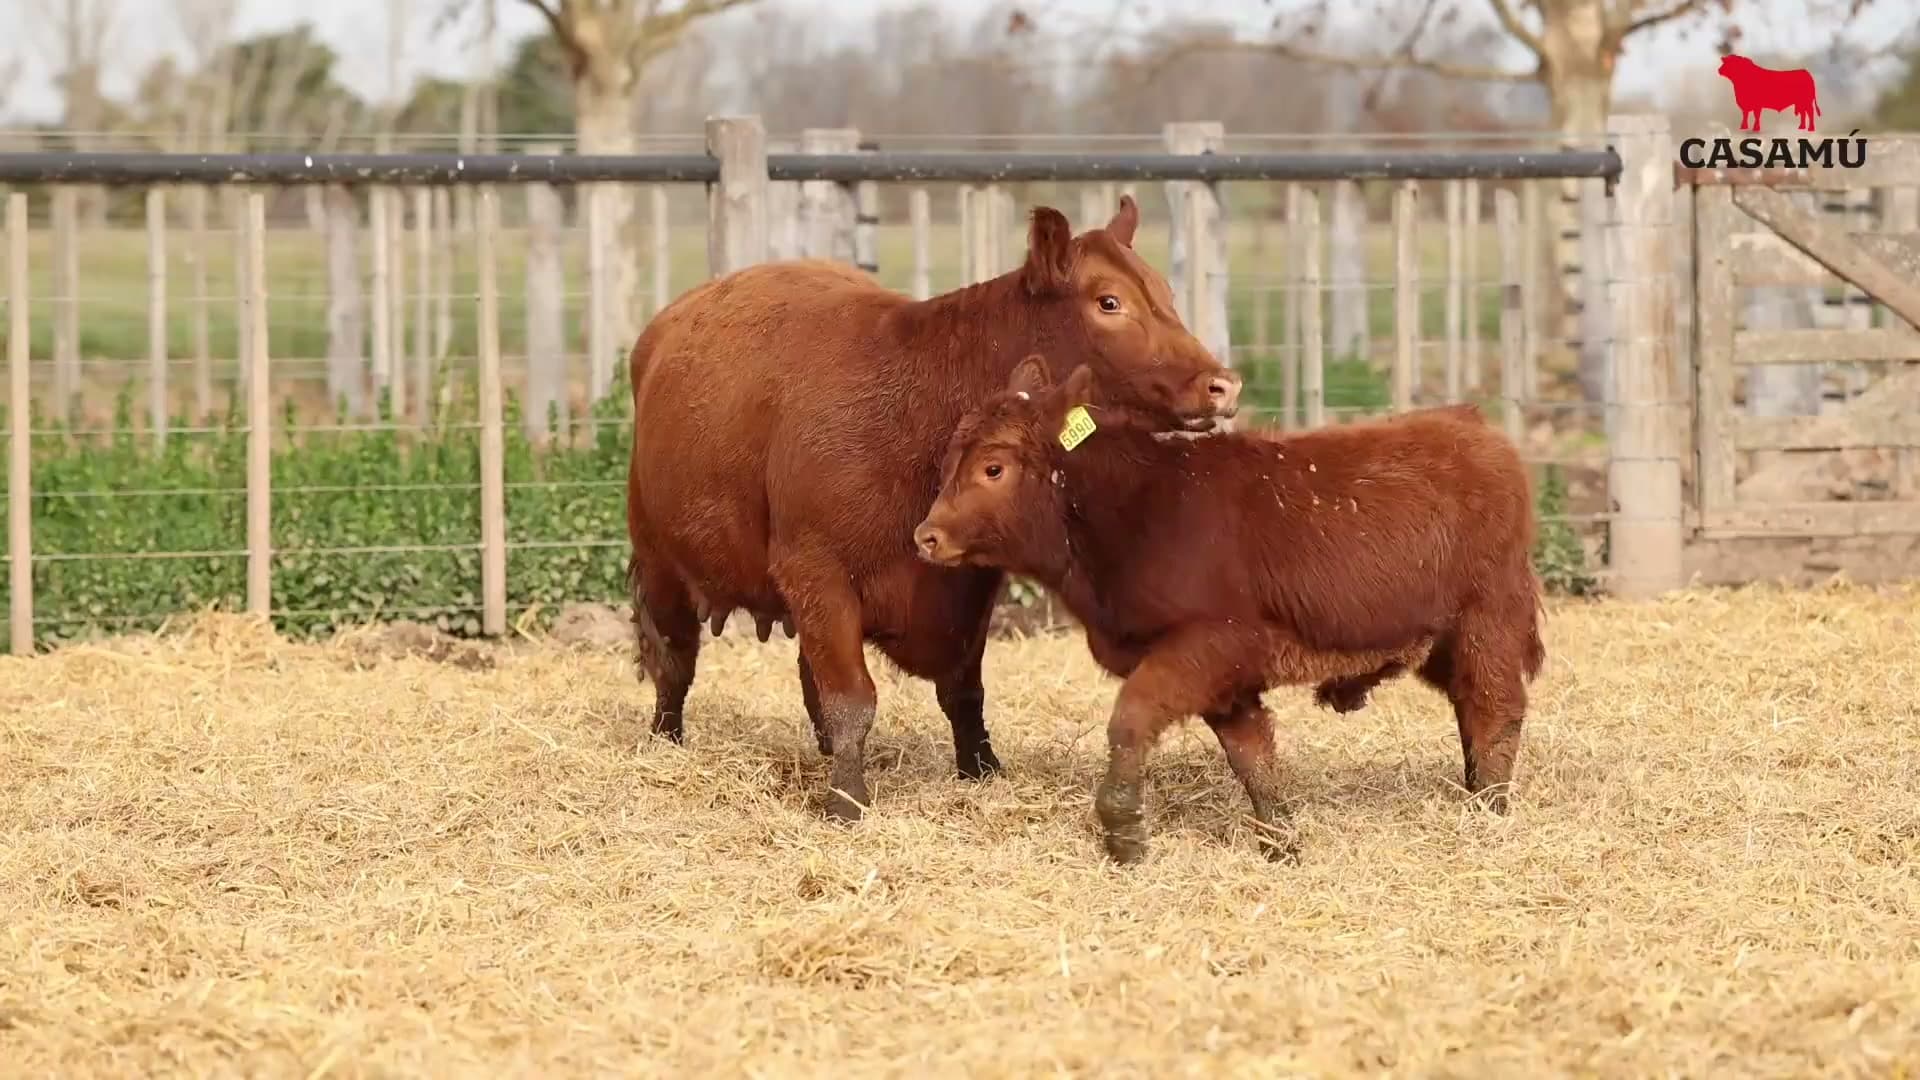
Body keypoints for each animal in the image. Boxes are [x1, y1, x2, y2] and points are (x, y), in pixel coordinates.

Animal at [626, 197, 1242, 823]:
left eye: (1164, 292)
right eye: (1109, 301)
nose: (1224, 384)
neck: (917, 408)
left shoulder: (968, 584)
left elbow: (962, 690)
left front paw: (981, 769)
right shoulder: (816, 574)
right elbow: (851, 697)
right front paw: (846, 798)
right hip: (659, 560)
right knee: (675, 659)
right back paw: (665, 739)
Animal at [911, 359, 1546, 865]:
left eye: (994, 468)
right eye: (947, 463)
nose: (927, 537)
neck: (1137, 508)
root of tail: (1472, 424)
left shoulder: (1206, 645)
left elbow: (1131, 718)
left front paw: (1124, 833)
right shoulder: (1228, 679)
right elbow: (1251, 755)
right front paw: (1282, 842)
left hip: (1487, 619)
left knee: (1494, 707)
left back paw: (1489, 810)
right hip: (1439, 639)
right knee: (1469, 707)